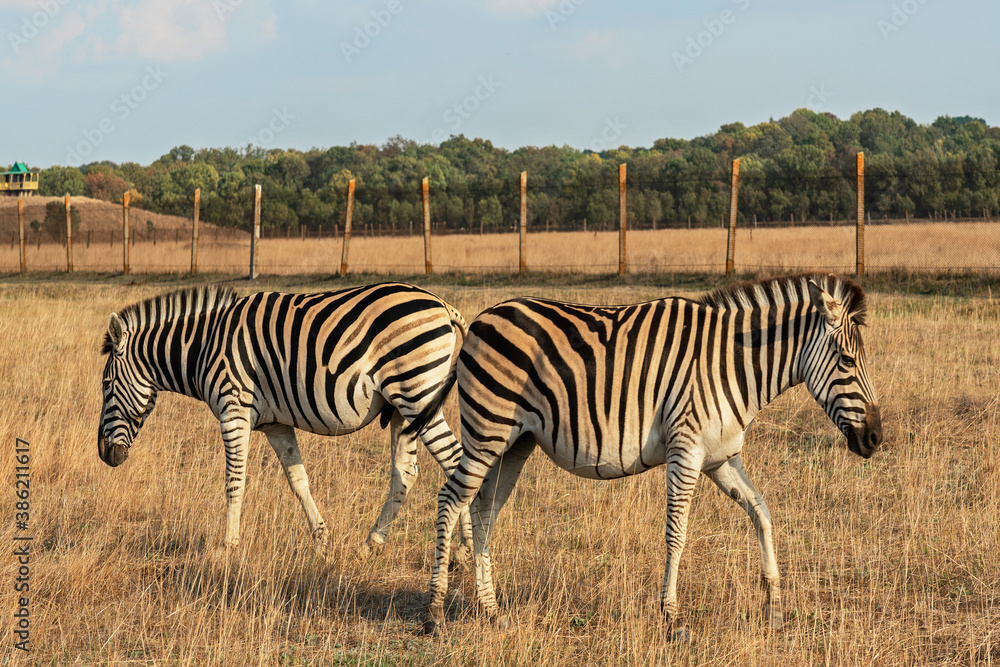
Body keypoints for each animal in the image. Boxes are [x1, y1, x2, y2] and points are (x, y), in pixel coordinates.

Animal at [98, 282, 473, 560]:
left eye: (106, 385)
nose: (104, 455)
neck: (204, 347)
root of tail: (442, 304)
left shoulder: (233, 410)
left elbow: (234, 480)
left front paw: (227, 547)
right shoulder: (275, 423)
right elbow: (298, 480)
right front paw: (321, 541)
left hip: (416, 391)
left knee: (456, 462)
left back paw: (463, 552)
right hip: (402, 407)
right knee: (405, 473)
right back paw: (372, 544)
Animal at [416, 273, 882, 635]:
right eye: (846, 360)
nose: (876, 438)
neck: (732, 365)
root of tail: (480, 319)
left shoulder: (721, 458)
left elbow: (762, 513)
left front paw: (775, 608)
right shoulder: (686, 450)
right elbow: (677, 533)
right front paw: (671, 617)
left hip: (515, 442)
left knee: (483, 510)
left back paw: (491, 611)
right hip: (487, 430)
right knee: (451, 499)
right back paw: (434, 613)